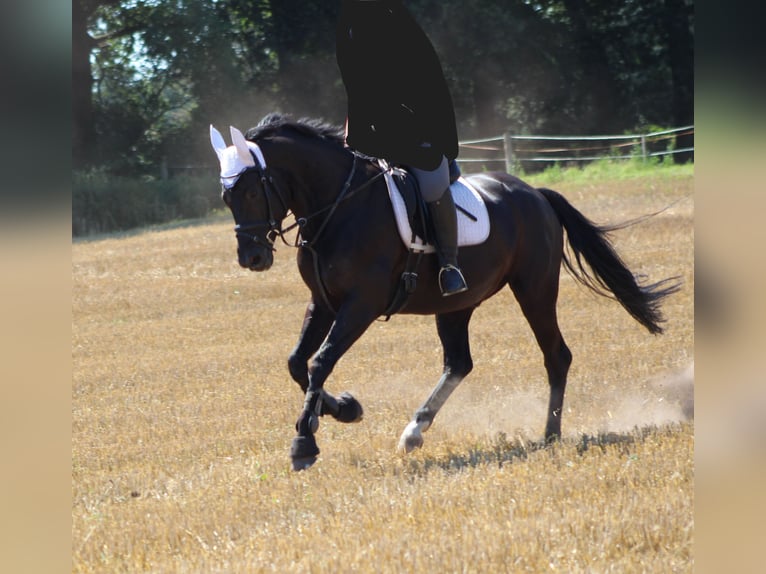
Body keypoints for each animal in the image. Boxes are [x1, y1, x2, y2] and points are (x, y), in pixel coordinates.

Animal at [208, 113, 680, 472]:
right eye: (225, 196)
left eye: (251, 189)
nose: (251, 257)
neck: (340, 208)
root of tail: (534, 193)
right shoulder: (323, 303)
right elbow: (297, 363)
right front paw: (342, 409)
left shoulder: (361, 304)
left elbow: (320, 361)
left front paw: (304, 444)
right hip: (455, 304)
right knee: (459, 363)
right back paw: (414, 431)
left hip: (535, 288)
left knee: (555, 355)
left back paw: (549, 434)